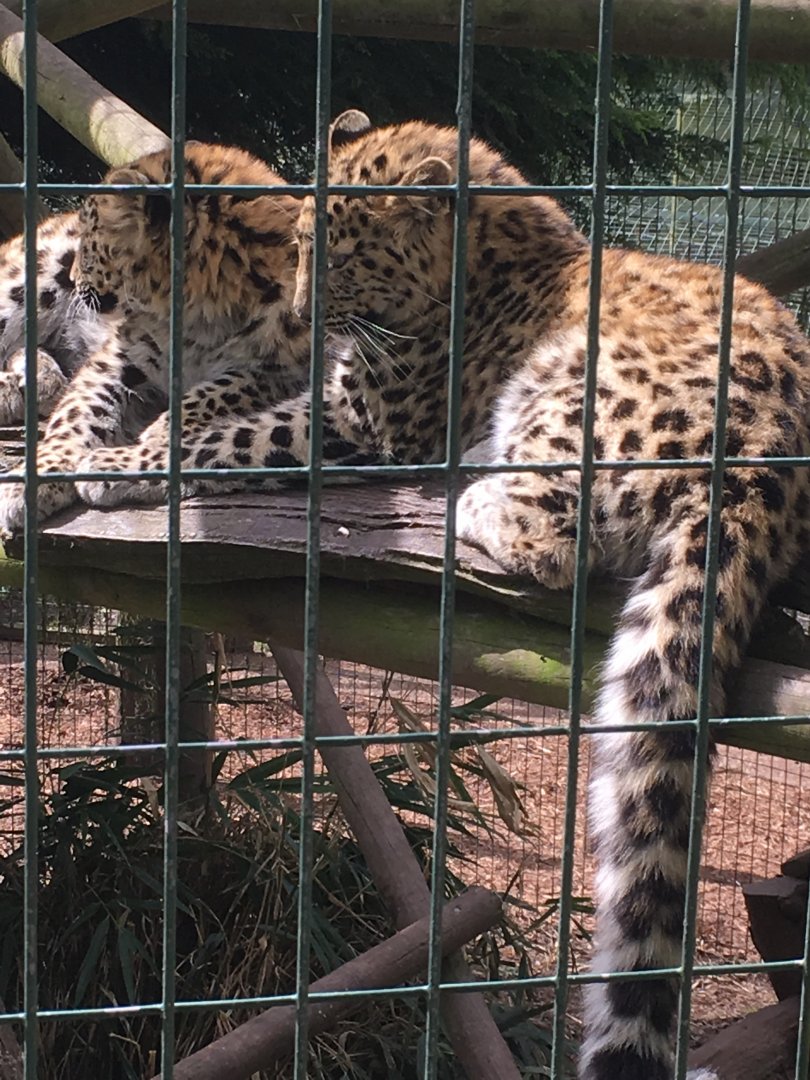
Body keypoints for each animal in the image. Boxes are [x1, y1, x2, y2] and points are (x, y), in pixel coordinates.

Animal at [0, 140, 311, 534]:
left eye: (92, 240)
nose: (72, 277)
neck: (202, 310)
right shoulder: (118, 357)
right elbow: (76, 415)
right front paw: (34, 479)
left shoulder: (282, 370)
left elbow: (222, 390)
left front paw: (159, 435)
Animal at [73, 110, 810, 1079]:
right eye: (297, 247)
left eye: (339, 254)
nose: (301, 317)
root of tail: (766, 460)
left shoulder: (365, 423)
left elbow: (224, 436)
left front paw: (118, 462)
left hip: (569, 391)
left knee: (550, 536)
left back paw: (470, 498)